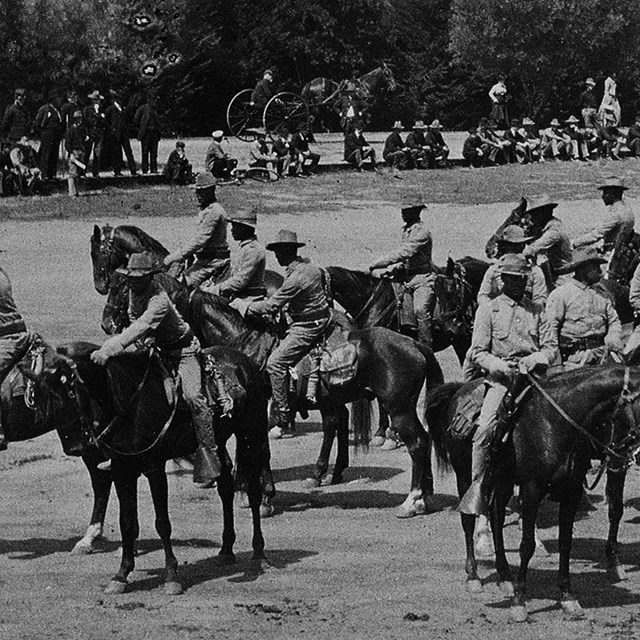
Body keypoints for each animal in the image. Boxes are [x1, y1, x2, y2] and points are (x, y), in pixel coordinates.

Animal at [22, 342, 272, 596]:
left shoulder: (155, 469)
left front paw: (171, 577)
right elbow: (127, 524)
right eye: (42, 393)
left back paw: (259, 555)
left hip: (252, 435)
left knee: (253, 490)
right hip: (217, 442)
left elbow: (162, 523)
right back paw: (226, 550)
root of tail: (245, 361)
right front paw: (121, 575)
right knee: (225, 484)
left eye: (68, 389)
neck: (128, 402)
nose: (77, 446)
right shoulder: (122, 470)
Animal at [424, 368, 640, 624]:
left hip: (503, 482)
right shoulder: (531, 490)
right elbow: (526, 545)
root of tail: (459, 389)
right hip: (465, 475)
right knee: (469, 520)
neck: (553, 426)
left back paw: (505, 576)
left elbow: (566, 542)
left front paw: (567, 596)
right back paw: (474, 576)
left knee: (496, 518)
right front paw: (519, 602)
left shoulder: (572, 491)